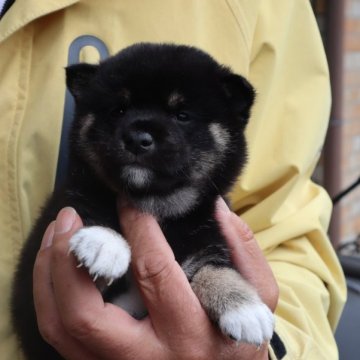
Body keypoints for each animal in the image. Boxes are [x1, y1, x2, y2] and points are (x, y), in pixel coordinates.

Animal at [12, 43, 274, 358]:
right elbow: (93, 211)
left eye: (182, 115)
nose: (138, 138)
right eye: (119, 110)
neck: (155, 204)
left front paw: (244, 308)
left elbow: (215, 267)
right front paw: (105, 242)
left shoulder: (206, 239)